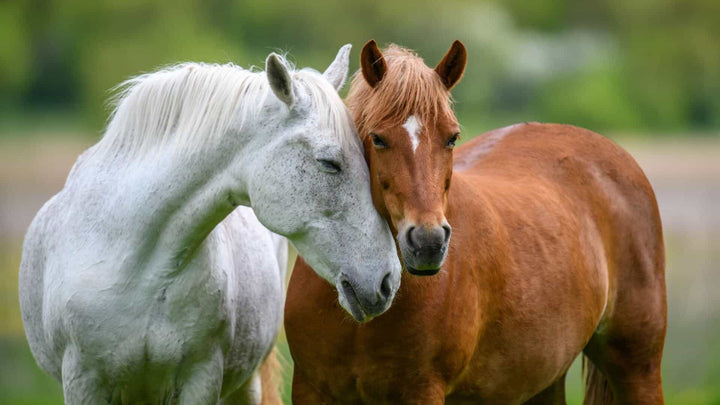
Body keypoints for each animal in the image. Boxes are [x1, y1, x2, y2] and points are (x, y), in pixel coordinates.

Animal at [285, 40, 667, 404]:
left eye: (451, 137)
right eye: (377, 138)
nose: (427, 243)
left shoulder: (421, 391)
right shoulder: (309, 389)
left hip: (638, 367)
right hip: (543, 379)